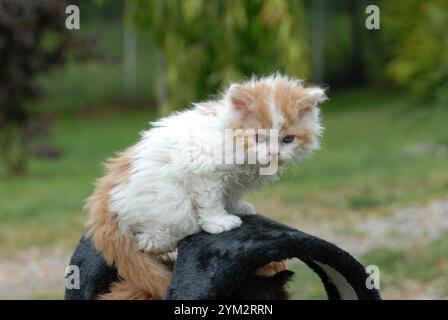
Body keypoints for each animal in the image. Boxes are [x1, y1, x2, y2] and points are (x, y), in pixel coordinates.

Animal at [85, 74, 326, 298]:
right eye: (258, 138)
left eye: (288, 139)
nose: (274, 154)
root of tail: (105, 201)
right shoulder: (204, 171)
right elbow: (211, 201)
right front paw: (220, 222)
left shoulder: (234, 180)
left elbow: (231, 194)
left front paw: (238, 208)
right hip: (172, 207)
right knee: (150, 241)